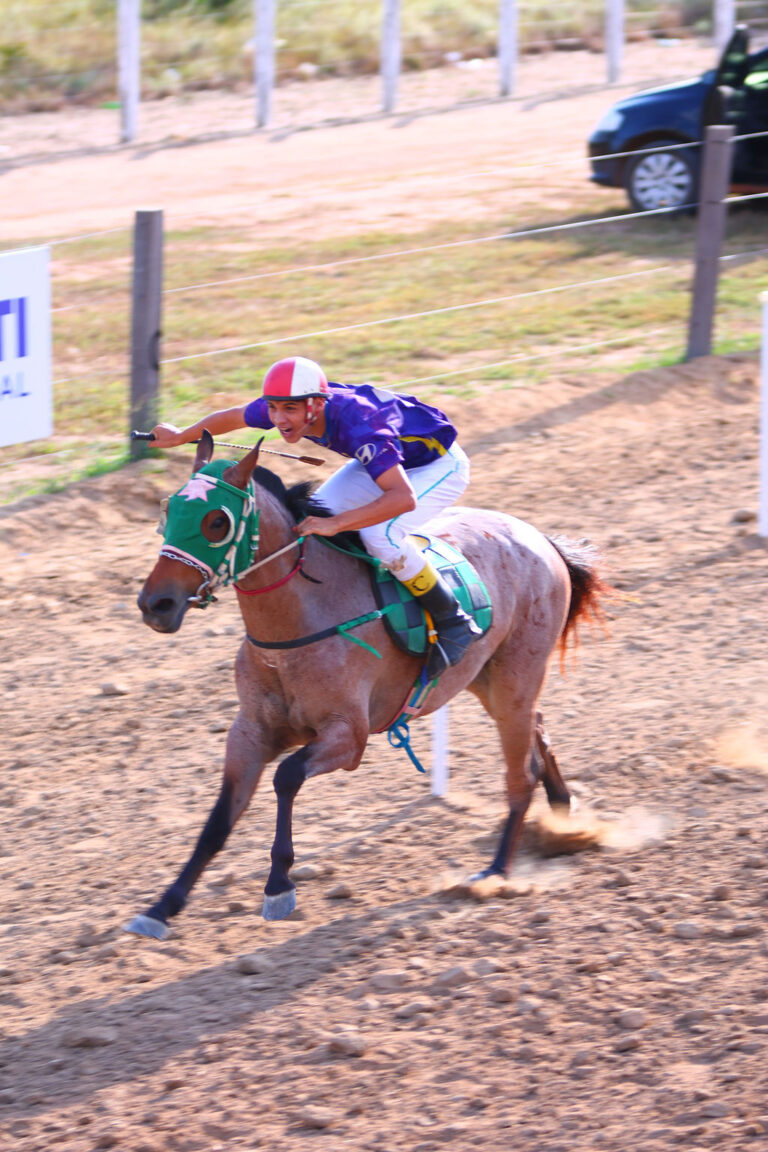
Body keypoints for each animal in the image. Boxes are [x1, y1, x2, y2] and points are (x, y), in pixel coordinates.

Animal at [126, 431, 606, 938]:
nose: (156, 604)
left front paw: (278, 885)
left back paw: (496, 871)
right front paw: (163, 906)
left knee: (521, 772)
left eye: (216, 521)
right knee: (537, 727)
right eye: (168, 510)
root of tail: (541, 538)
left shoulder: (348, 735)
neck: (295, 628)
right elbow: (219, 819)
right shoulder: (249, 733)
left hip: (516, 674)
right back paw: (562, 815)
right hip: (484, 676)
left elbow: (286, 776)